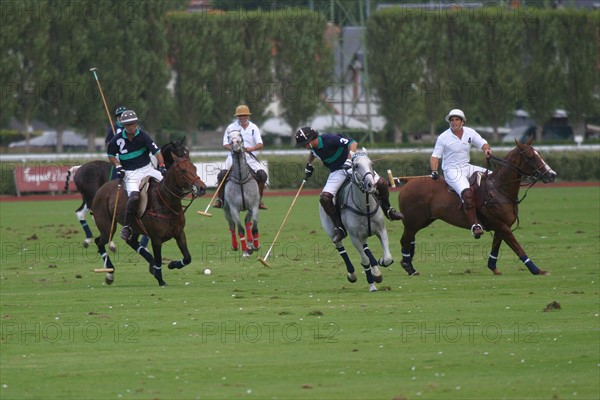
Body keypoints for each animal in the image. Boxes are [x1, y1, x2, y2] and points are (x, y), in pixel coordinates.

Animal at [91, 154, 206, 288]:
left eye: (195, 168)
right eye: (183, 170)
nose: (202, 188)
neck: (166, 203)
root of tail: (102, 188)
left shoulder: (179, 233)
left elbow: (187, 257)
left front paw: (172, 264)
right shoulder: (156, 239)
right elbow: (159, 259)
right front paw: (161, 280)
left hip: (135, 227)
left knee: (131, 242)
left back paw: (151, 264)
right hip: (107, 226)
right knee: (99, 241)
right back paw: (110, 273)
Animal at [223, 130, 260, 258]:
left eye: (240, 136)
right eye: (228, 136)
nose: (235, 144)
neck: (241, 179)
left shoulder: (254, 206)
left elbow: (254, 227)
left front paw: (255, 246)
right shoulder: (234, 208)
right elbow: (240, 229)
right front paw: (244, 252)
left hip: (249, 208)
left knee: (247, 221)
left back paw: (250, 244)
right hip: (226, 210)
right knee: (232, 226)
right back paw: (236, 246)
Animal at [318, 150, 394, 290]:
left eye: (371, 164)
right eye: (356, 166)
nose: (371, 185)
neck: (365, 206)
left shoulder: (381, 230)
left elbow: (388, 258)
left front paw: (380, 263)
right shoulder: (354, 237)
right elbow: (365, 261)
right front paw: (372, 285)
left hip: (363, 235)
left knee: (366, 248)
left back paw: (376, 272)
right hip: (331, 231)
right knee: (341, 247)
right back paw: (352, 274)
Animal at [398, 140, 556, 276]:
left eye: (538, 154)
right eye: (530, 156)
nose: (552, 175)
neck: (499, 190)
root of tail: (407, 183)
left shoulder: (501, 226)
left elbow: (495, 248)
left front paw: (493, 268)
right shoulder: (503, 226)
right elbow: (518, 248)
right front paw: (537, 270)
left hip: (423, 221)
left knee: (409, 239)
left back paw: (408, 265)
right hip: (413, 221)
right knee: (405, 240)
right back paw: (409, 268)